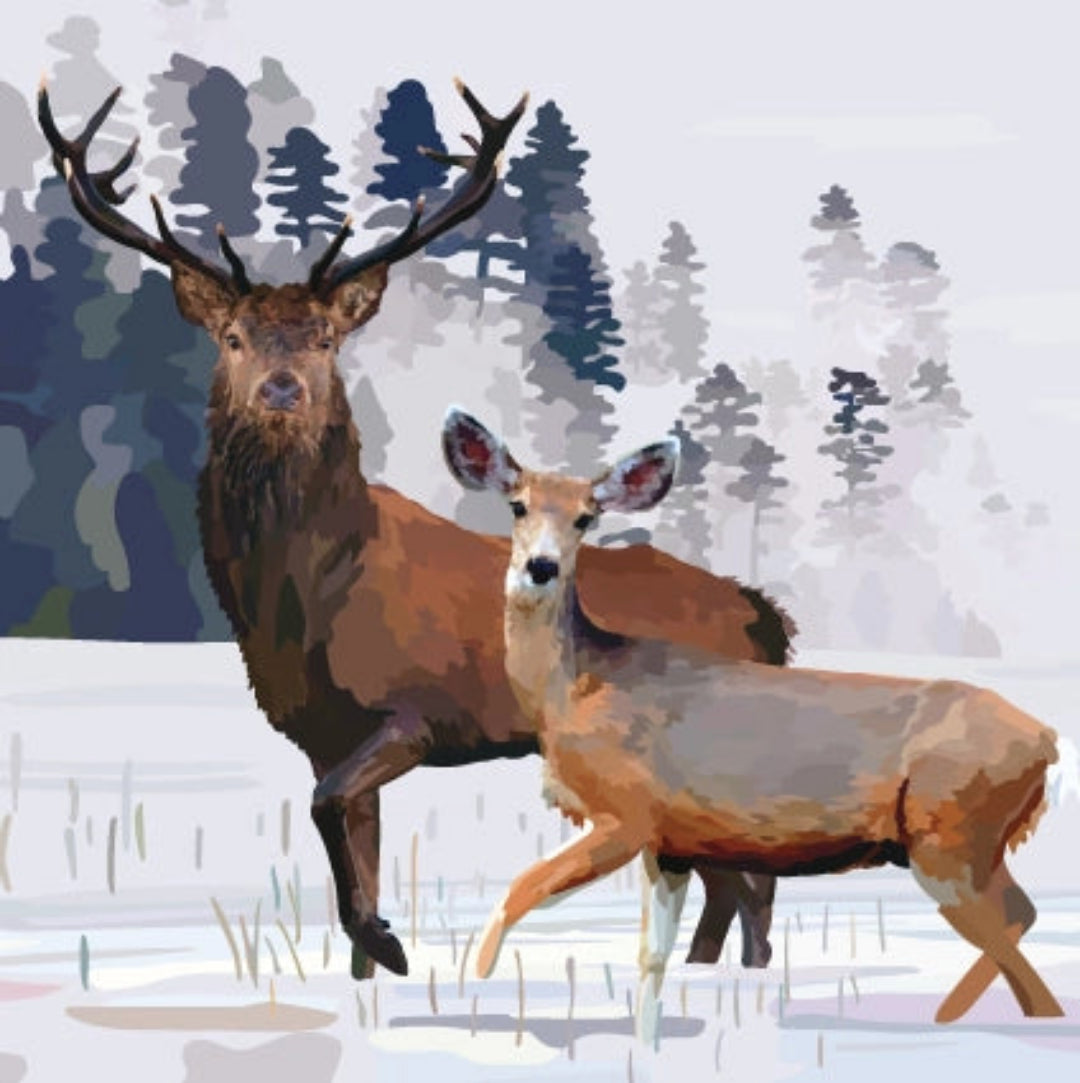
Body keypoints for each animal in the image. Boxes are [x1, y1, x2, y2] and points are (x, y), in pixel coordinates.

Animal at [37, 79, 797, 980]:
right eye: (233, 337)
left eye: (325, 336)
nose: (284, 388)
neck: (304, 596)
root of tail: (766, 616)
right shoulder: (322, 731)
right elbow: (350, 847)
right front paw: (372, 958)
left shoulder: (415, 709)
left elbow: (327, 809)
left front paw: (390, 941)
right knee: (728, 886)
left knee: (753, 885)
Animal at [441, 407, 1065, 1038]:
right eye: (517, 504)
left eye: (586, 517)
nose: (540, 567)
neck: (575, 690)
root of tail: (1049, 742)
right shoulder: (670, 843)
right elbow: (651, 957)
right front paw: (646, 1043)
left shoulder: (628, 810)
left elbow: (523, 887)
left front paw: (479, 972)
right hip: (969, 839)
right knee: (1021, 917)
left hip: (952, 831)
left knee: (1013, 929)